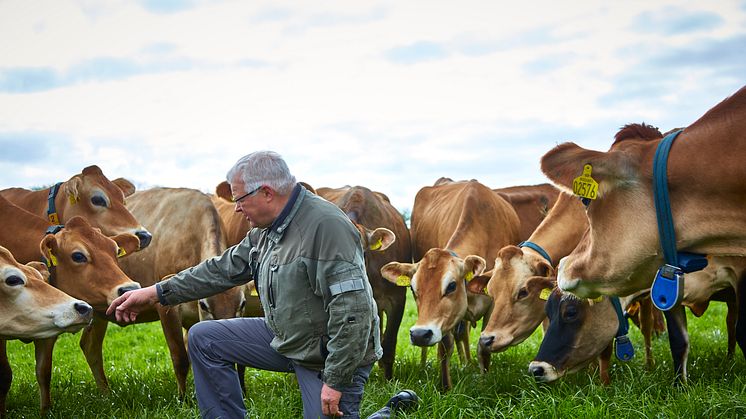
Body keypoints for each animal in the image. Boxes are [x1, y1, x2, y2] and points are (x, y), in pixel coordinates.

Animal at [0, 248, 93, 418]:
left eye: (42, 279)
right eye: (13, 279)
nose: (85, 308)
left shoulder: (47, 337)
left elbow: (44, 372)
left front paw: (45, 412)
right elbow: (4, 374)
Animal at [378, 178, 516, 390]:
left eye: (451, 286)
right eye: (413, 289)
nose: (419, 334)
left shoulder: (493, 307)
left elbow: (484, 346)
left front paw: (484, 381)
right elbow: (444, 348)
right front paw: (445, 387)